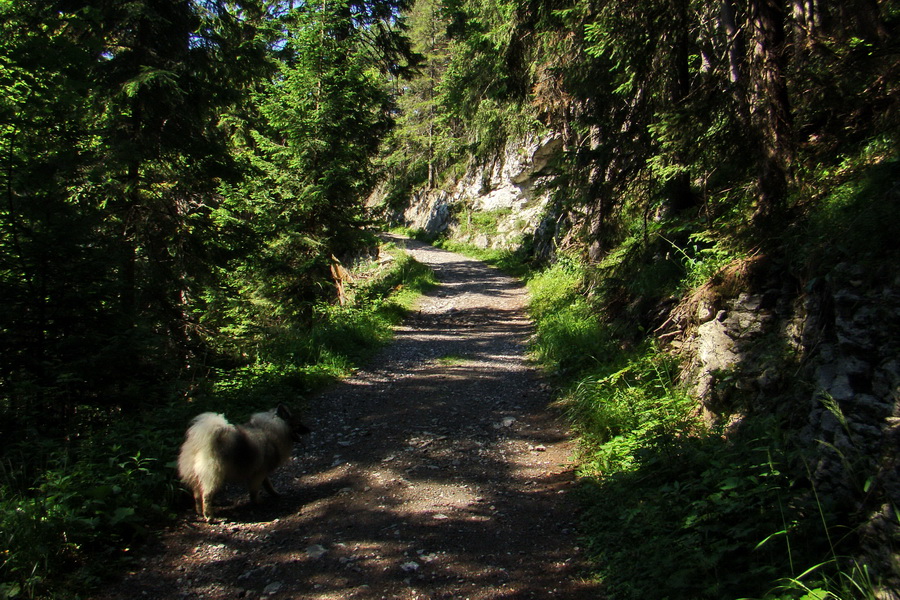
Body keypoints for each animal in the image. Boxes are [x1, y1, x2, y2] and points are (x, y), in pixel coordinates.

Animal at [176, 404, 310, 520]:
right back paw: (209, 516)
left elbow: (268, 484)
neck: (271, 430)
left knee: (196, 494)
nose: (309, 429)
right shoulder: (259, 473)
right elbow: (254, 490)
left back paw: (199, 511)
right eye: (298, 424)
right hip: (214, 476)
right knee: (206, 495)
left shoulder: (262, 470)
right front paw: (257, 501)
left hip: (196, 476)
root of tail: (199, 444)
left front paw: (274, 493)